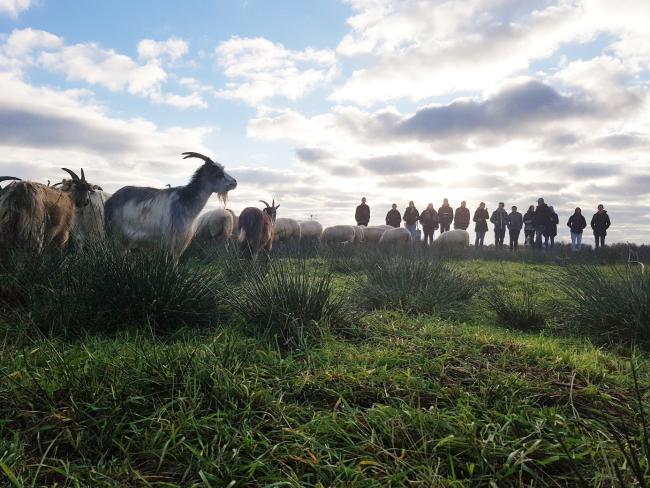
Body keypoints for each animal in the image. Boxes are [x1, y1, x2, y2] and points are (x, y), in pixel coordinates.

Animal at [105, 152, 237, 260]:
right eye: (218, 173)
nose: (234, 182)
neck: (185, 201)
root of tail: (110, 200)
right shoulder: (171, 241)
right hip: (115, 234)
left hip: (125, 240)